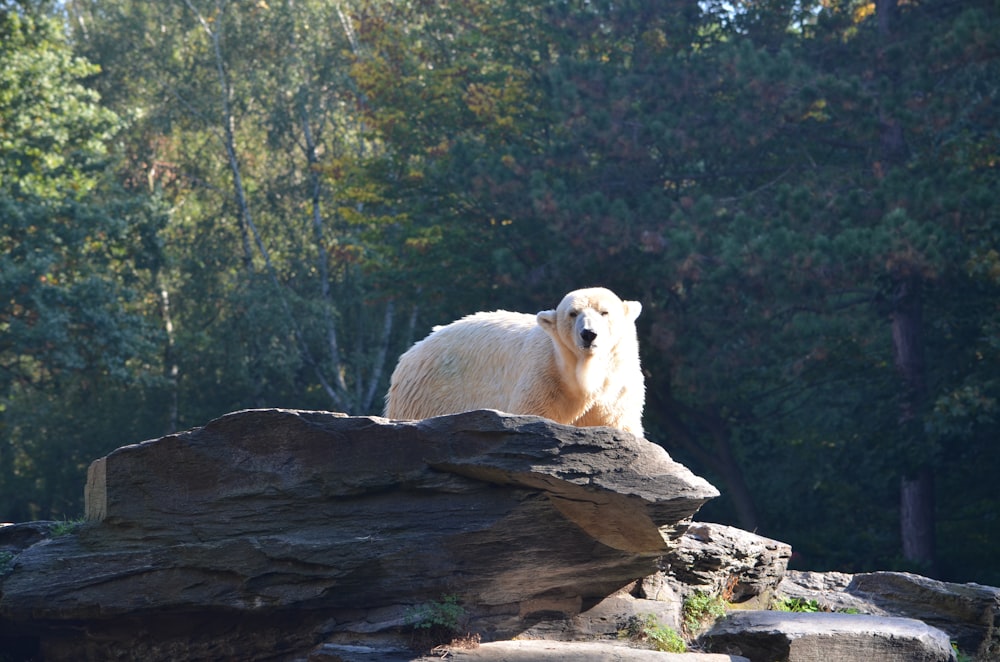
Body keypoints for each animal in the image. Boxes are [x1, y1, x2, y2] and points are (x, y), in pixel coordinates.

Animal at [378, 288, 644, 438]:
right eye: (573, 313)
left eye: (604, 312)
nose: (589, 334)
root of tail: (412, 352)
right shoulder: (545, 375)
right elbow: (533, 413)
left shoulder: (616, 389)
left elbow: (618, 423)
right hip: (431, 395)